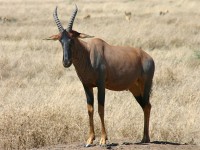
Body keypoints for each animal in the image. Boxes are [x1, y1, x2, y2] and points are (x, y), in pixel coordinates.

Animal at [45, 4, 155, 148]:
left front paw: (103, 140)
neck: (88, 53)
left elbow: (100, 109)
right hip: (135, 89)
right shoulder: (87, 86)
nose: (66, 62)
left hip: (146, 84)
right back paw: (144, 138)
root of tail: (149, 57)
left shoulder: (101, 85)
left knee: (147, 106)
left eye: (72, 39)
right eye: (60, 40)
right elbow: (90, 109)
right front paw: (89, 140)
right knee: (145, 105)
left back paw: (145, 138)